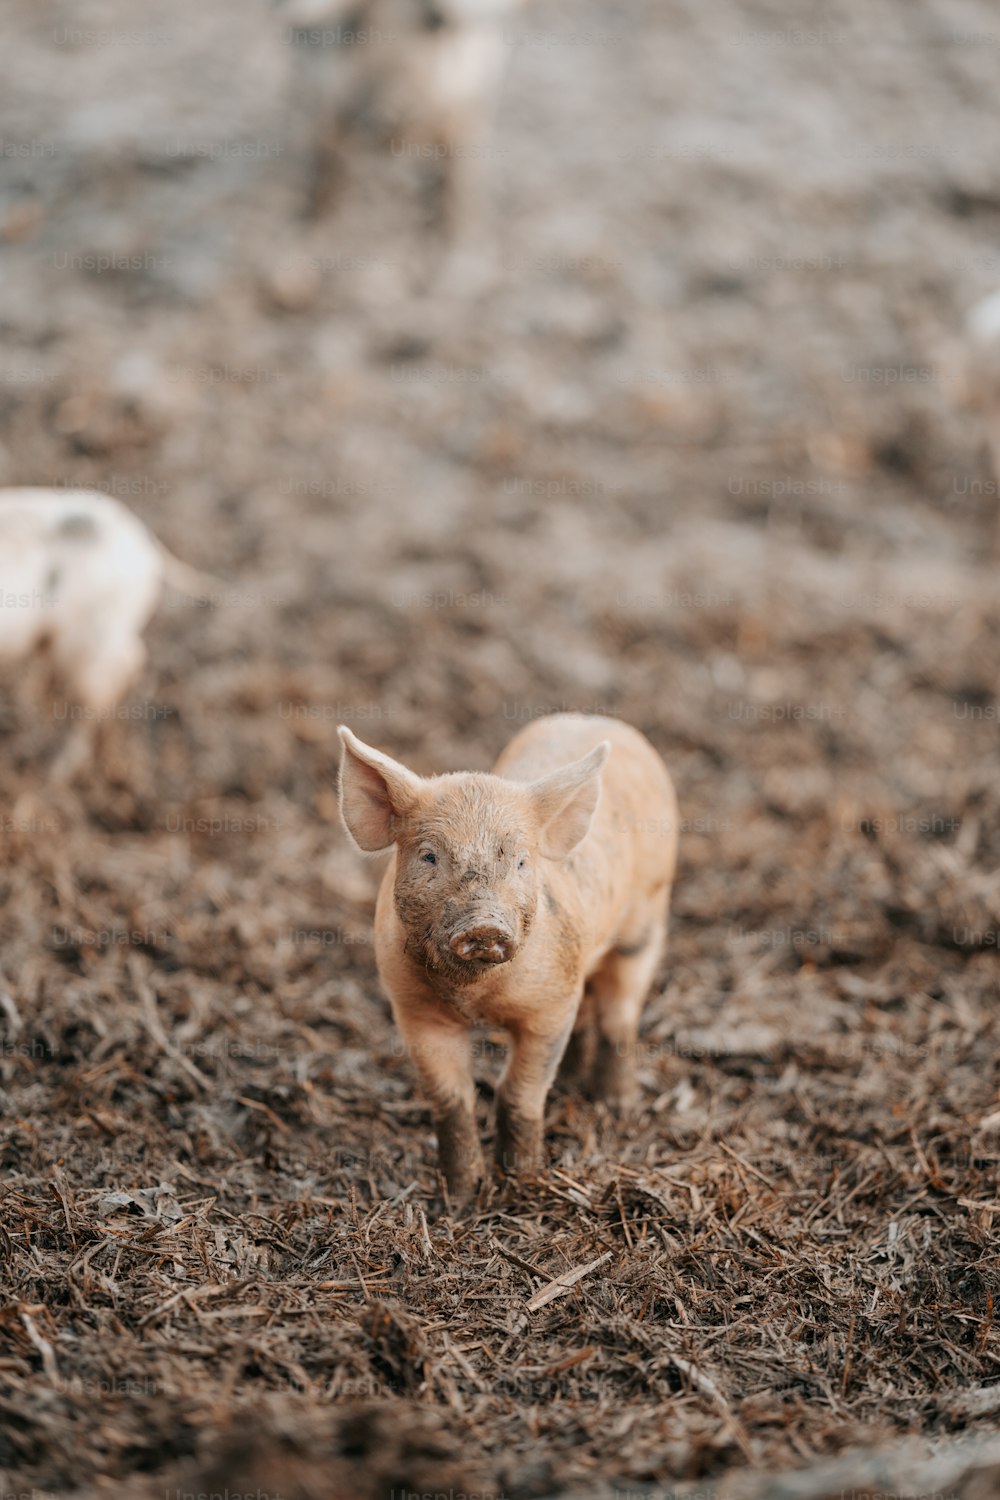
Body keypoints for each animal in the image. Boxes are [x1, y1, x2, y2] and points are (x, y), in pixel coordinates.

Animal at [338, 714, 680, 1206]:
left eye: (520, 861)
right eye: (429, 856)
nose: (484, 926)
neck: (476, 998)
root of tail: (599, 720)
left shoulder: (548, 1006)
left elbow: (518, 1092)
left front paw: (523, 1184)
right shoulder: (414, 1009)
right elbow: (452, 1099)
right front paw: (460, 1202)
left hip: (645, 923)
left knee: (620, 1013)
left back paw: (615, 1106)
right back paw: (572, 1082)